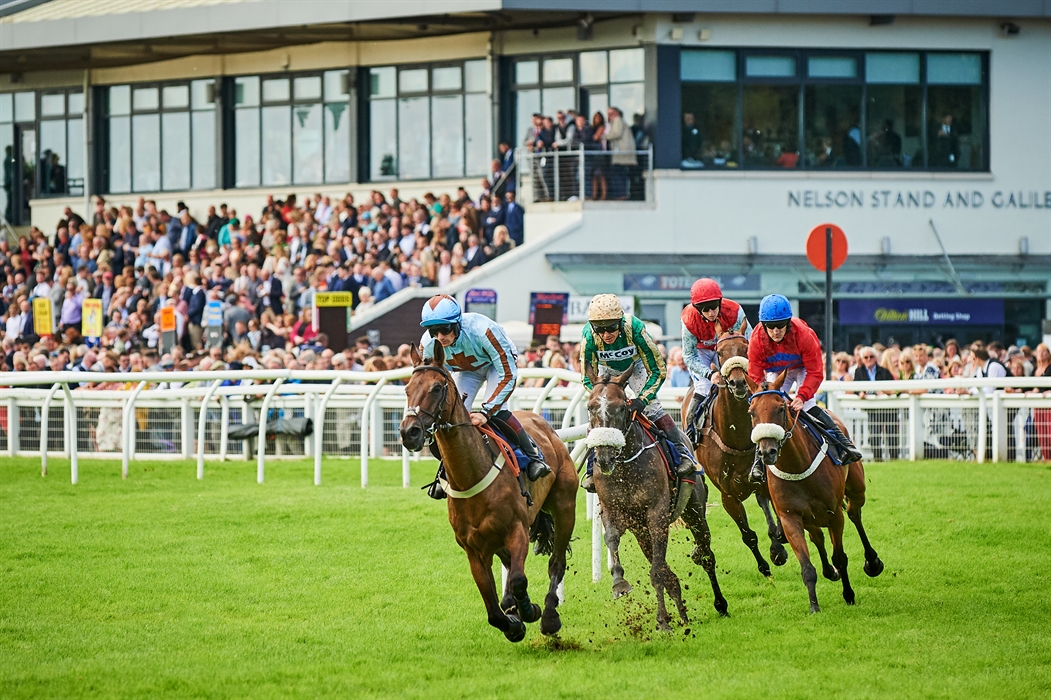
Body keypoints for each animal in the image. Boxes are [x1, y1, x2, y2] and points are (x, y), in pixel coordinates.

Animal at [397, 340, 580, 639]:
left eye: (436, 388)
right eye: (407, 389)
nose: (408, 432)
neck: (472, 476)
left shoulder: (517, 529)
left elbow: (518, 579)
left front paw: (530, 611)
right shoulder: (473, 549)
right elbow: (493, 610)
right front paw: (513, 624)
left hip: (565, 505)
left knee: (557, 561)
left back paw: (550, 615)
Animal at [584, 361, 731, 630]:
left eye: (622, 407)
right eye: (590, 407)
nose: (604, 457)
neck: (626, 468)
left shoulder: (657, 516)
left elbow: (657, 570)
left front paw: (663, 620)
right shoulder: (613, 509)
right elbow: (612, 538)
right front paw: (619, 583)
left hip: (695, 511)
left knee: (706, 556)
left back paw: (719, 604)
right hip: (641, 531)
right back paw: (681, 610)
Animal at [681, 330, 790, 575]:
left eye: (745, 348)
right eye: (720, 352)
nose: (738, 382)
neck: (737, 437)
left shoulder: (765, 478)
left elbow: (778, 520)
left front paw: (778, 548)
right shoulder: (728, 495)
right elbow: (748, 535)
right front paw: (764, 565)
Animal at [748, 369, 887, 609]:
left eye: (780, 408)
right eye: (752, 412)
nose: (767, 452)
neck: (796, 465)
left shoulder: (834, 515)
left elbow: (840, 557)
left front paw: (849, 594)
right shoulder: (790, 517)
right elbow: (806, 566)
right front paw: (814, 605)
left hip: (856, 489)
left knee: (854, 513)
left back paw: (872, 561)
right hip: (810, 517)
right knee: (817, 537)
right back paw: (829, 571)